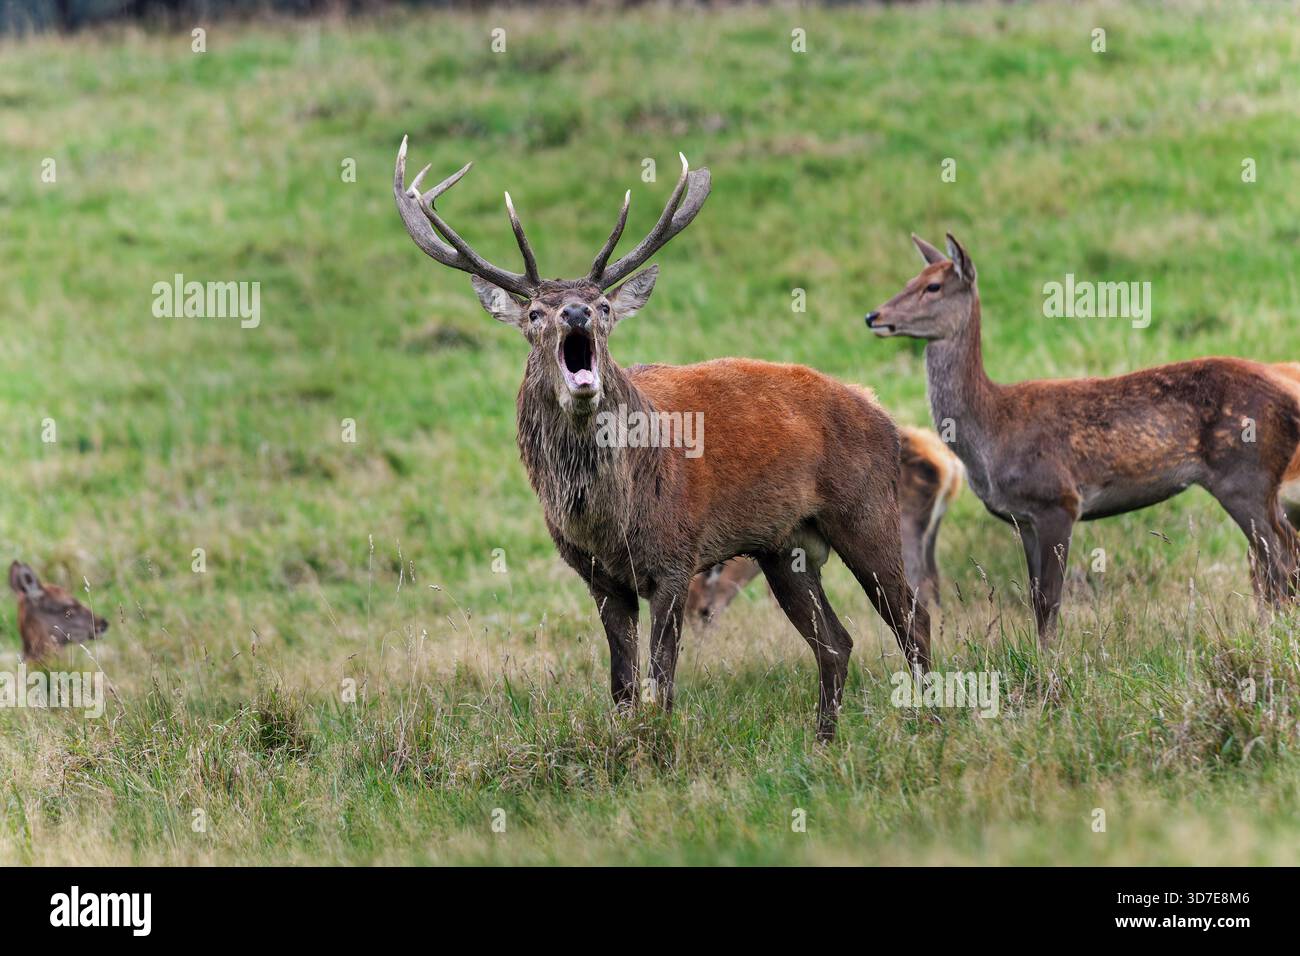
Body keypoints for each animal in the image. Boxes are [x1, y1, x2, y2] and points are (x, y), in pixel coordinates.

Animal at [394, 137, 929, 739]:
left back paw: (932, 722)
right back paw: (823, 741)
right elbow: (623, 689)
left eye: (604, 305)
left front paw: (658, 749)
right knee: (836, 643)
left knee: (914, 621)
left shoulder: (675, 560)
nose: (576, 311)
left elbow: (663, 687)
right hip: (783, 546)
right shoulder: (601, 579)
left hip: (866, 510)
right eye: (533, 312)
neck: (610, 520)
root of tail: (879, 410)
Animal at [865, 234, 1300, 643]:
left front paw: (1050, 665)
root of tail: (1289, 399)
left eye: (933, 286)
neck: (990, 433)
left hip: (1243, 476)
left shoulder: (1058, 499)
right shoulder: (1023, 518)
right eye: (909, 279)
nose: (873, 315)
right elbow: (1035, 600)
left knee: (1279, 560)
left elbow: (1049, 601)